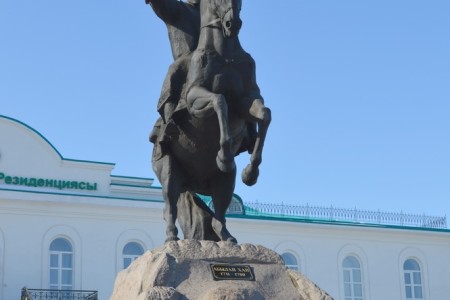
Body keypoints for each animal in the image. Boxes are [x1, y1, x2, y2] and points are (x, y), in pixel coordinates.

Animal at [151, 0, 270, 241]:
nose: (232, 23)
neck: (225, 55)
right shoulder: (194, 99)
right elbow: (220, 101)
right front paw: (223, 155)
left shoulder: (248, 99)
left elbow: (266, 115)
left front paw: (251, 172)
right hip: (168, 170)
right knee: (170, 206)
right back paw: (171, 237)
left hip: (223, 181)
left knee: (218, 215)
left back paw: (227, 237)